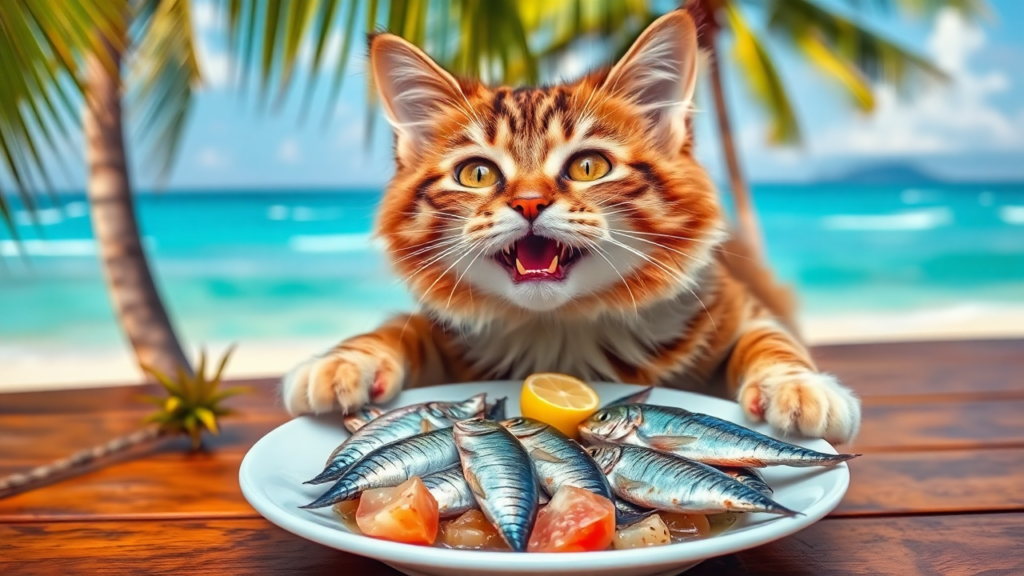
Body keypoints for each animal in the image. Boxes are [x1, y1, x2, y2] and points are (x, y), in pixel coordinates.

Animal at [282, 7, 864, 438]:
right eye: (476, 174)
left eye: (589, 167)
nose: (529, 203)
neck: (560, 328)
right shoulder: (444, 333)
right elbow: (394, 331)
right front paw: (342, 362)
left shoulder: (734, 304)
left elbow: (771, 341)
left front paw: (800, 386)